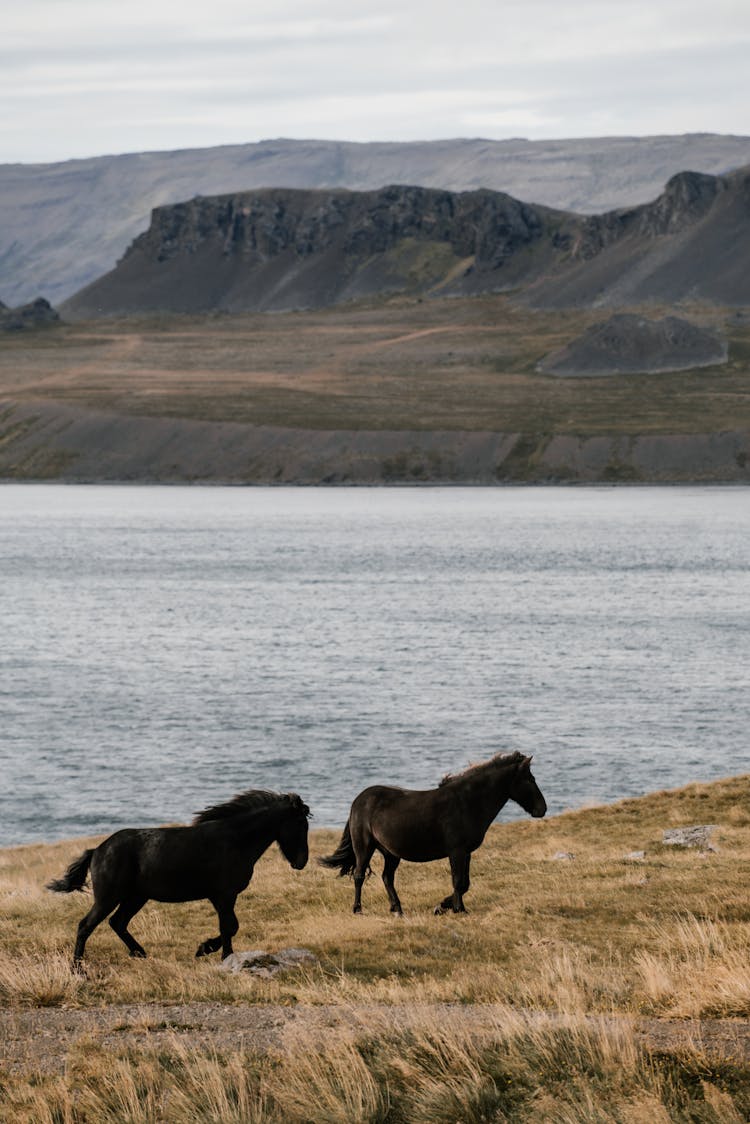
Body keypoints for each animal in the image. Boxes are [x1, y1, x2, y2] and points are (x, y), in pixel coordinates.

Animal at [47, 791, 310, 966]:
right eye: (300, 823)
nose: (301, 862)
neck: (234, 840)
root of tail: (97, 851)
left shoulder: (221, 897)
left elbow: (230, 926)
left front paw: (207, 949)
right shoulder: (224, 895)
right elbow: (229, 926)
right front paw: (215, 953)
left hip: (135, 897)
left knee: (117, 923)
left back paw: (140, 953)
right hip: (108, 898)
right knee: (86, 926)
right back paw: (78, 969)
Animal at [319, 750, 546, 917]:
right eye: (530, 779)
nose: (542, 809)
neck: (467, 802)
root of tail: (358, 801)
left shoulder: (466, 853)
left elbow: (465, 883)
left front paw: (443, 906)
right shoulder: (456, 851)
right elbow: (458, 881)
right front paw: (457, 909)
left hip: (391, 852)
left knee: (387, 878)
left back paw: (397, 909)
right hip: (364, 847)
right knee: (359, 875)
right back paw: (358, 909)